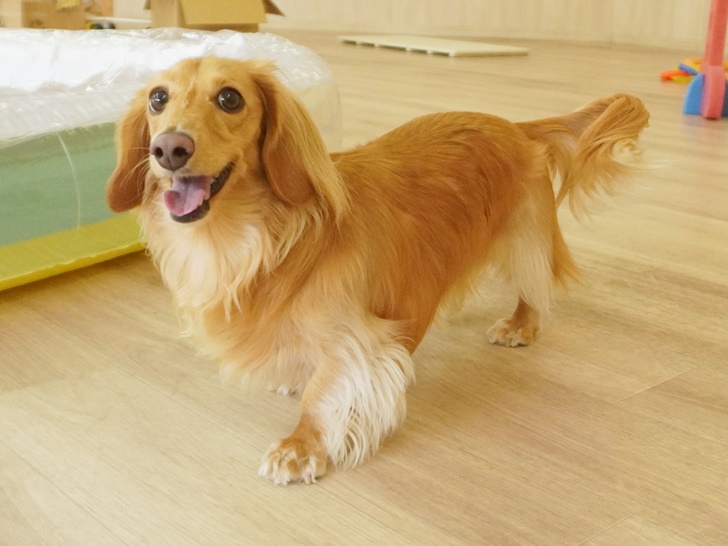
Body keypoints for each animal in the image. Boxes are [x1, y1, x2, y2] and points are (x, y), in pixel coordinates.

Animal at [106, 56, 649, 485]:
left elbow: (322, 395)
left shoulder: (361, 342)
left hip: (525, 239)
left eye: (229, 98)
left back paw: (520, 325)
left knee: (533, 289)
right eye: (158, 98)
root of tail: (519, 127)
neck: (255, 239)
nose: (168, 149)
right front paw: (295, 377)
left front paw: (300, 446)